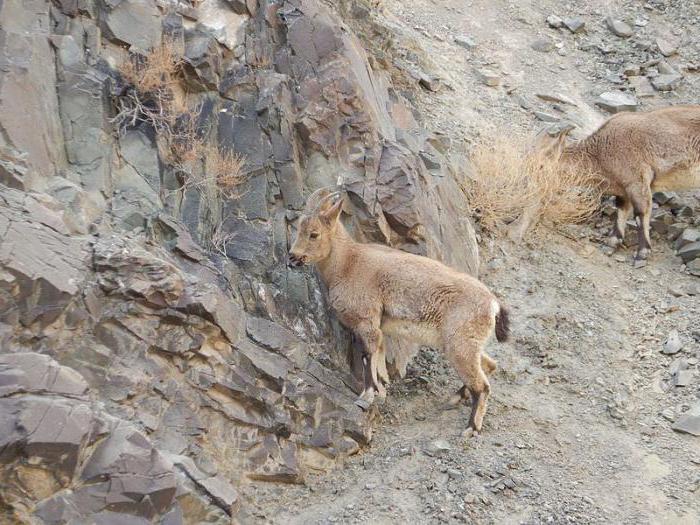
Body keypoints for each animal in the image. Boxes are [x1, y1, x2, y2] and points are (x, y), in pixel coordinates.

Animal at [288, 188, 512, 434]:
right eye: (298, 228)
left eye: (314, 234)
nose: (292, 257)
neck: (347, 263)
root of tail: (493, 304)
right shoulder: (378, 327)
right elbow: (378, 358)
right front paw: (380, 392)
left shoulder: (366, 321)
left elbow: (367, 356)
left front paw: (365, 397)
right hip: (465, 344)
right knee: (489, 365)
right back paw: (455, 398)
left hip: (460, 345)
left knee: (482, 385)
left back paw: (471, 427)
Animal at [540, 105, 700, 260]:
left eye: (542, 166)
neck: (601, 152)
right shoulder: (623, 189)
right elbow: (621, 211)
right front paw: (612, 242)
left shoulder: (637, 181)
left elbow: (640, 214)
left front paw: (642, 252)